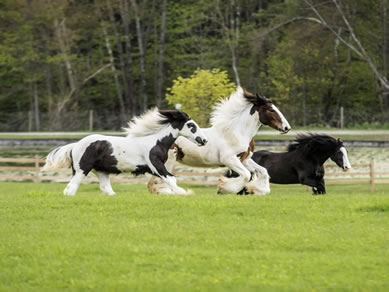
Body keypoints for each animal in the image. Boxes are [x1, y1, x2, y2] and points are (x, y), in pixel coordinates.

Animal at [40, 109, 206, 196]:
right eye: (191, 125)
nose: (203, 140)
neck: (156, 142)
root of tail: (75, 145)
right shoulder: (156, 166)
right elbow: (171, 179)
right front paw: (183, 193)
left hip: (101, 172)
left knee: (106, 189)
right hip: (82, 170)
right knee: (71, 188)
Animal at [147, 87, 290, 196]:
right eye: (271, 110)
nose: (287, 128)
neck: (236, 133)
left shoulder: (244, 159)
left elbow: (263, 171)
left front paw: (257, 190)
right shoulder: (229, 159)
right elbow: (246, 175)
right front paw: (223, 188)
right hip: (169, 159)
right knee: (157, 182)